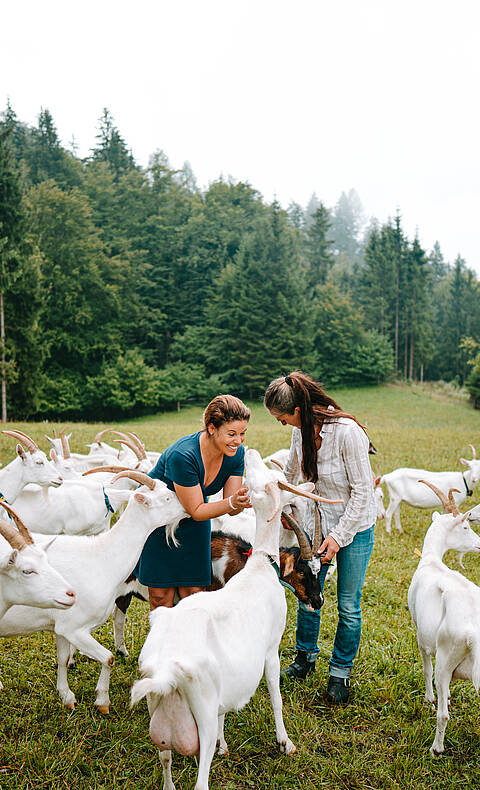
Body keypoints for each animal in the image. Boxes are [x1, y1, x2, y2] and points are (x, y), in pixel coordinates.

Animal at [0, 474, 188, 716]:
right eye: (166, 498)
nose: (187, 508)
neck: (102, 556)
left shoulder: (61, 626)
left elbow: (63, 659)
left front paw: (67, 697)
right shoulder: (75, 627)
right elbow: (108, 658)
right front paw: (102, 701)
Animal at [130, 452, 342, 790]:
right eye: (302, 571)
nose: (249, 453)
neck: (259, 565)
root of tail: (166, 672)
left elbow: (223, 714)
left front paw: (224, 744)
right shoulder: (270, 650)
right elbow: (276, 697)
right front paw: (285, 743)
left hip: (157, 711)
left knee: (165, 759)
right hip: (199, 713)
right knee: (200, 780)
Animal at [406, 480, 480, 756]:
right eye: (466, 527)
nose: (479, 544)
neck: (431, 561)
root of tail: (472, 634)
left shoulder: (420, 635)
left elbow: (426, 669)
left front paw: (429, 698)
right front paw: (444, 695)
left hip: (447, 655)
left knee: (444, 714)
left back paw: (436, 749)